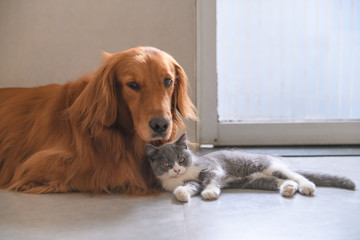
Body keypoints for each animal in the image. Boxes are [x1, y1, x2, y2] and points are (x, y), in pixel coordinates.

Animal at [145, 134, 356, 202]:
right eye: (166, 164)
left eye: (181, 159)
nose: (176, 169)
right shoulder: (189, 181)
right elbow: (191, 186)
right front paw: (182, 193)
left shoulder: (212, 168)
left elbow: (211, 179)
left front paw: (210, 192)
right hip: (257, 180)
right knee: (281, 181)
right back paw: (288, 188)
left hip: (267, 166)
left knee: (295, 175)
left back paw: (306, 186)